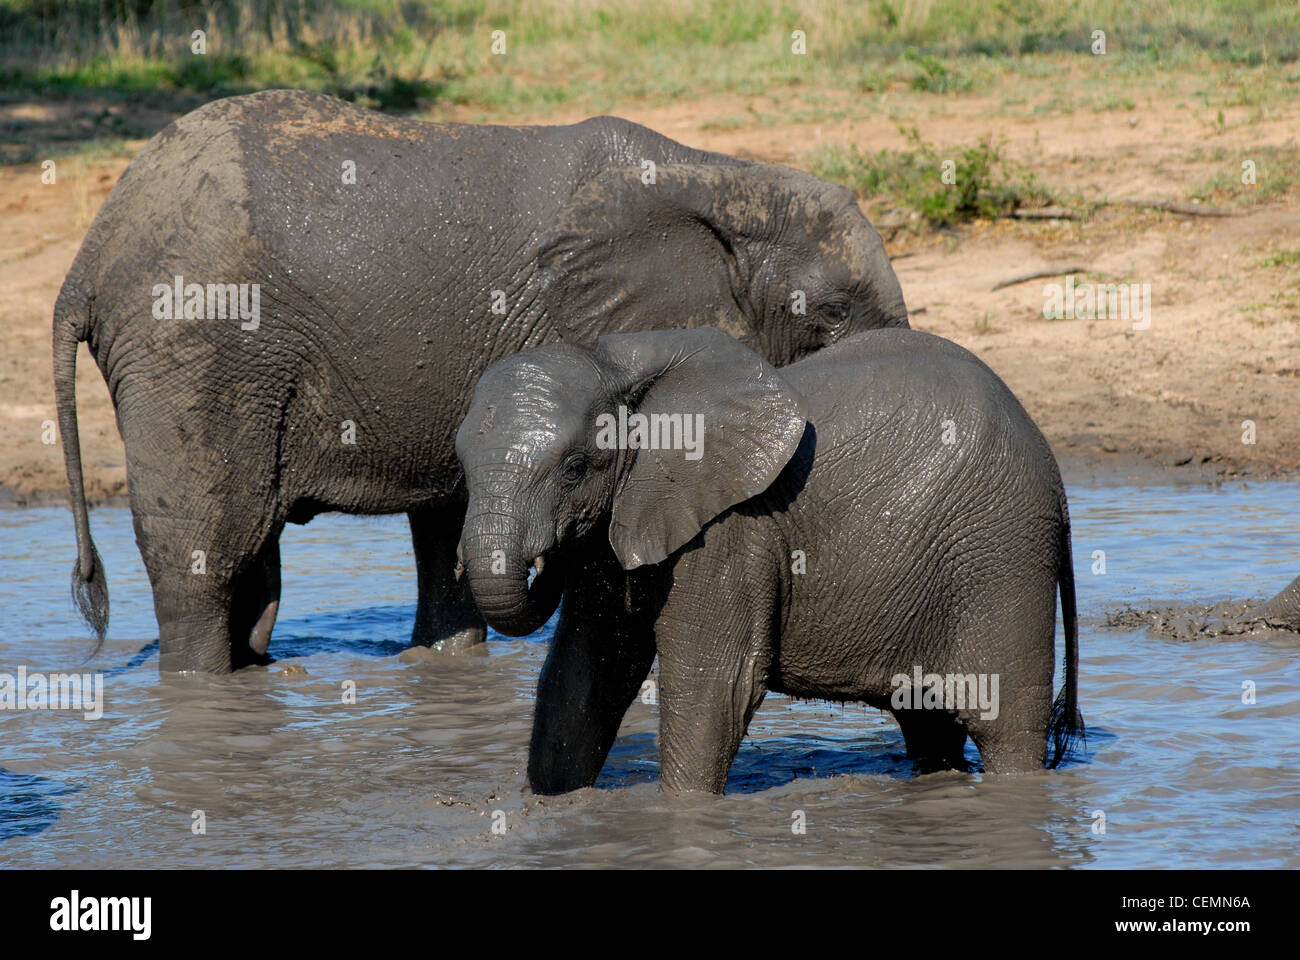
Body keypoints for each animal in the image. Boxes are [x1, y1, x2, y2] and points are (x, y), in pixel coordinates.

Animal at [52, 88, 910, 674]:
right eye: (830, 317)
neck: (724, 182)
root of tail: (90, 251)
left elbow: (446, 517)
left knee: (256, 563)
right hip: (195, 346)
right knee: (206, 551)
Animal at [454, 327, 1084, 794]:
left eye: (575, 468)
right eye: (460, 464)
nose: (543, 562)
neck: (615, 363)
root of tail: (1056, 476)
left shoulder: (729, 532)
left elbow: (716, 686)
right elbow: (584, 673)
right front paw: (549, 809)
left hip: (1002, 553)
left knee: (1004, 723)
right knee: (928, 723)